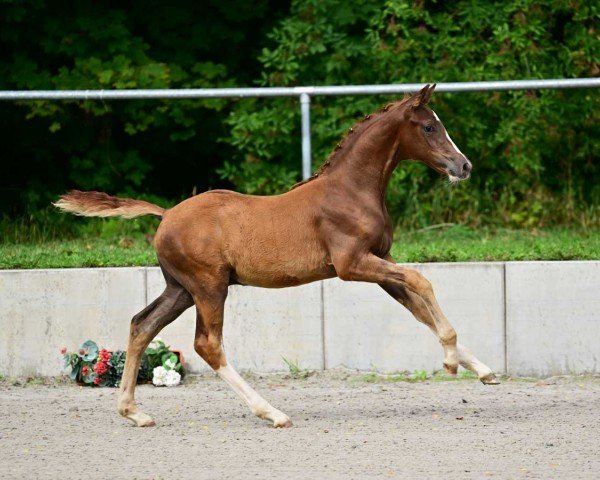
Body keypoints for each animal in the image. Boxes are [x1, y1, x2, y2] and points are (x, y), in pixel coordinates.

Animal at [55, 84, 496, 430]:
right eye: (429, 126)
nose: (464, 166)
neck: (351, 191)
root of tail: (165, 215)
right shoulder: (352, 264)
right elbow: (423, 281)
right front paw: (451, 361)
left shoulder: (379, 261)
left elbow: (419, 309)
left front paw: (483, 370)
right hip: (209, 287)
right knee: (207, 344)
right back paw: (273, 413)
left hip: (180, 289)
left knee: (141, 326)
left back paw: (134, 412)